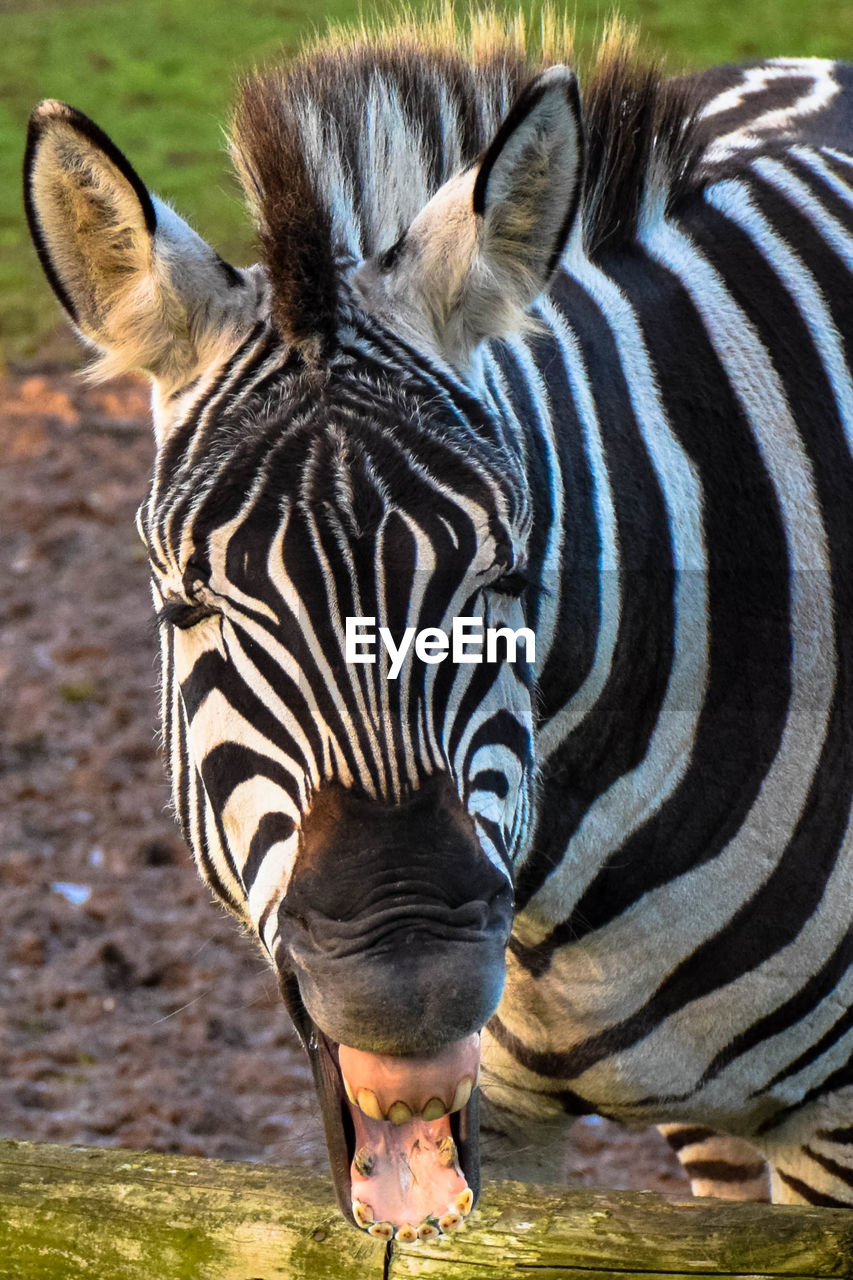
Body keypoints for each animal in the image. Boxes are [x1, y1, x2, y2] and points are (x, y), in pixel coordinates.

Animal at [21, 0, 853, 1233]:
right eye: (187, 603)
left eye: (504, 576)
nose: (404, 996)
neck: (566, 926)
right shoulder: (495, 1107)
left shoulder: (833, 1125)